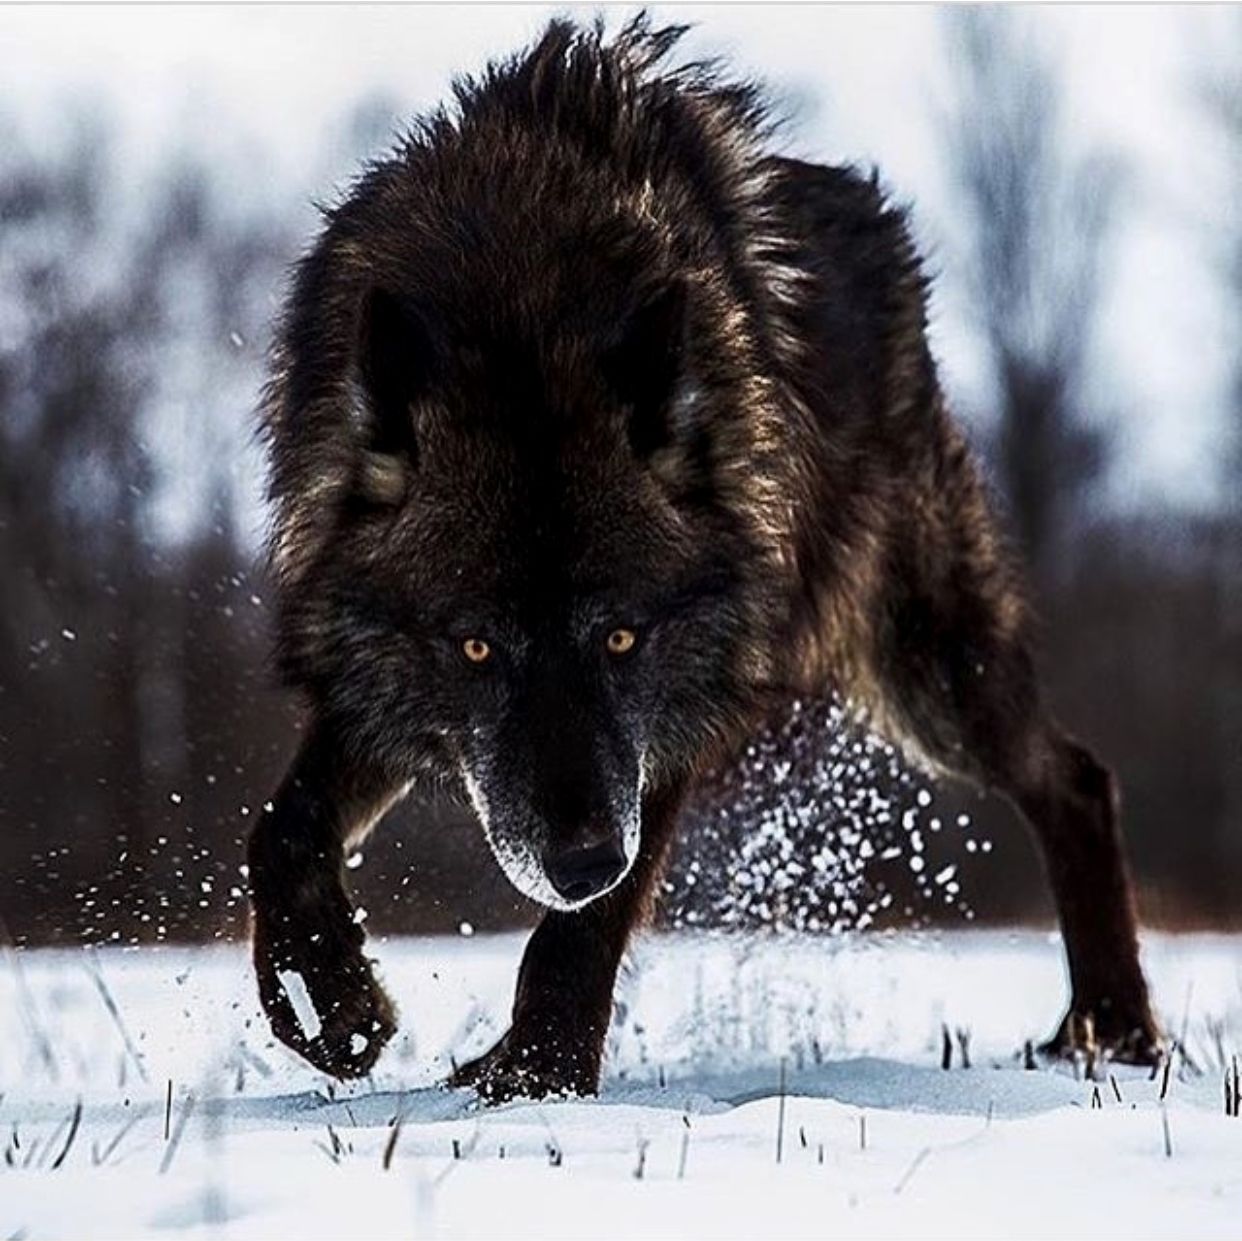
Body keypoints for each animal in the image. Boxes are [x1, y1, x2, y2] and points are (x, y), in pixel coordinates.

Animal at [247, 17, 1162, 1099]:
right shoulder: (382, 684)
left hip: (931, 668)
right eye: (476, 648)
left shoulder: (683, 699)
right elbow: (283, 832)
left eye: (621, 638)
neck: (522, 297)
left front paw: (540, 1074)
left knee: (1075, 780)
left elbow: (583, 930)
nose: (582, 859)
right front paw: (331, 1006)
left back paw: (1117, 1026)